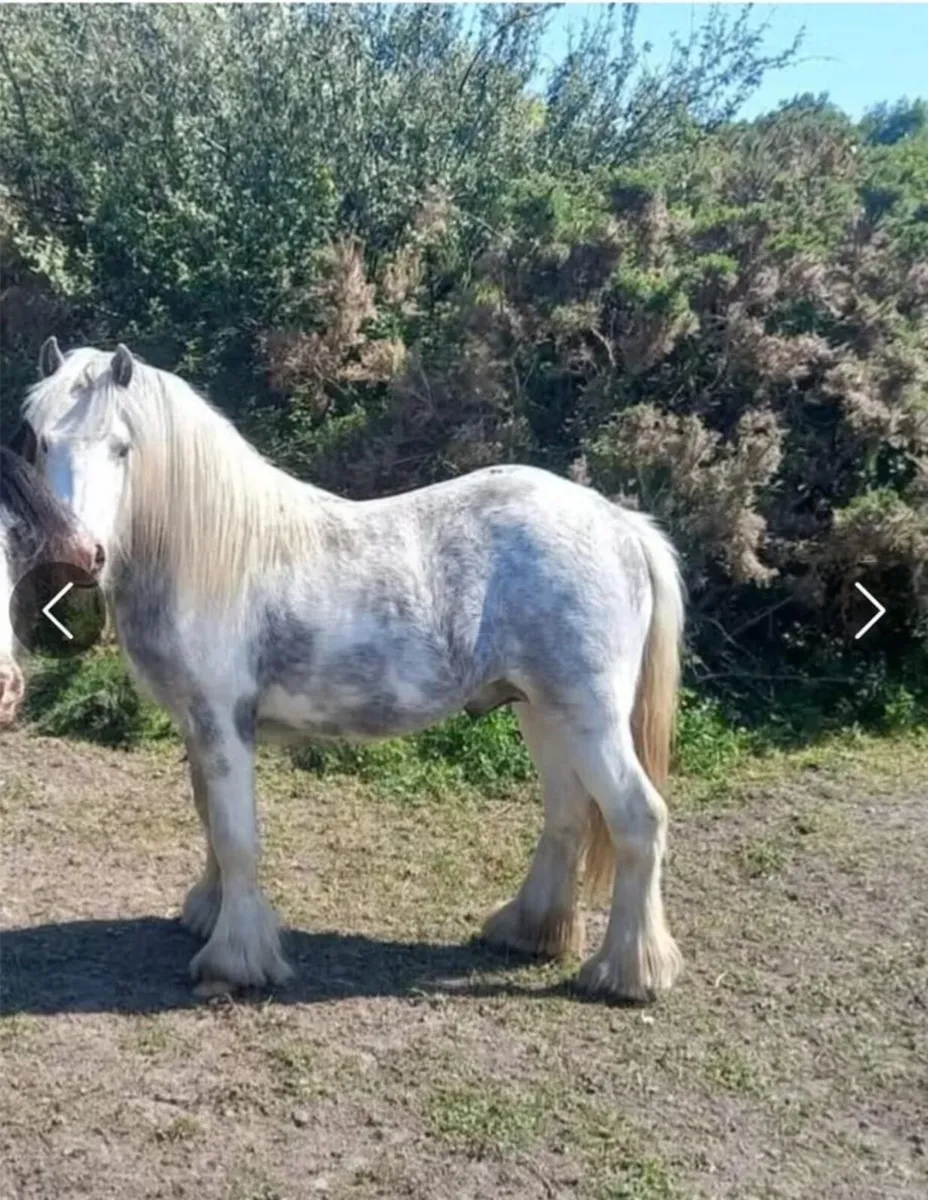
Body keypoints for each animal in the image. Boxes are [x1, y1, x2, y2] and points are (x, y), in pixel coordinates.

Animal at [20, 336, 686, 1002]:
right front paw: (208, 912)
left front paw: (234, 961)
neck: (209, 552)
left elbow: (236, 837)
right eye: (43, 442)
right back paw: (530, 930)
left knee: (637, 818)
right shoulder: (196, 725)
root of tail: (620, 524)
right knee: (566, 814)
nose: (78, 557)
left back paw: (628, 972)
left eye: (121, 446)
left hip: (589, 718)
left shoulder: (222, 722)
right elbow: (210, 819)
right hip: (542, 711)